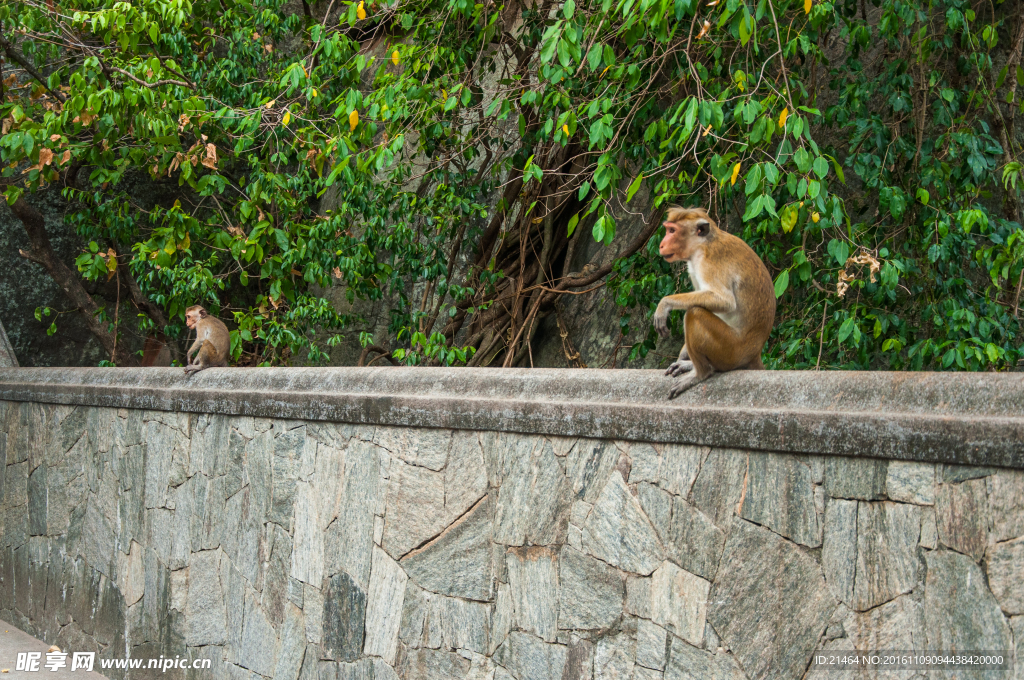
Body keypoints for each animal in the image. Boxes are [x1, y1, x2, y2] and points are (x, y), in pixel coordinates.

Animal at [651, 206, 770, 399]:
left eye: (672, 231)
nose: (661, 245)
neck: (702, 245)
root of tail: (755, 352)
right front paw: (684, 360)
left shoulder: (709, 263)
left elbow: (725, 301)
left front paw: (664, 304)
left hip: (731, 350)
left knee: (695, 313)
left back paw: (700, 374)